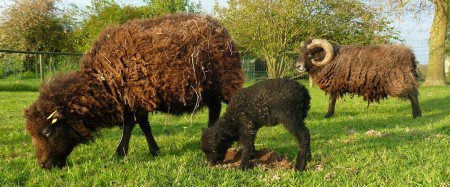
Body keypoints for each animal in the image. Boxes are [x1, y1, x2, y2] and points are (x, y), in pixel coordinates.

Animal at [23, 13, 246, 169]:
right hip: (209, 88)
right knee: (215, 109)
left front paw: (120, 152)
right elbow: (143, 125)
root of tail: (221, 28)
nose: (42, 165)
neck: (102, 82)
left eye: (48, 131)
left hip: (225, 80)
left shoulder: (135, 96)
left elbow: (131, 126)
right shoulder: (135, 100)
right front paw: (153, 150)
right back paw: (212, 131)